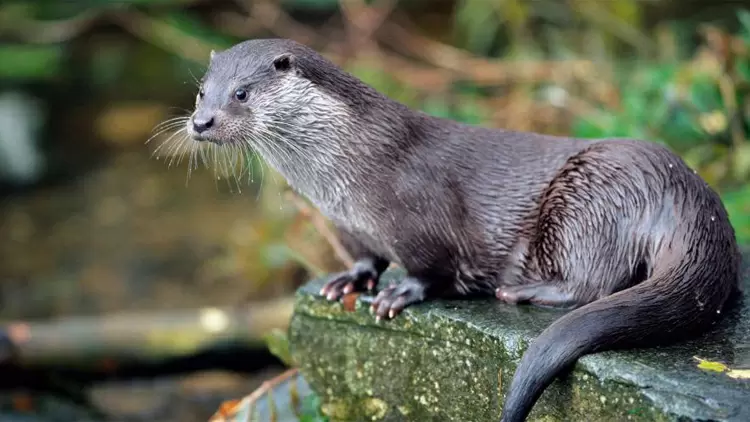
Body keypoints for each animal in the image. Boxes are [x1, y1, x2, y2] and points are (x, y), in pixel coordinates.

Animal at [169, 38, 741, 422]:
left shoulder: (418, 215)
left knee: (594, 282)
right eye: (201, 92)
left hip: (591, 196)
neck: (347, 172)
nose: (201, 122)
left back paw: (521, 291)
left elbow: (433, 269)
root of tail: (689, 193)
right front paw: (350, 280)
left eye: (242, 93)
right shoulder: (348, 225)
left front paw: (399, 293)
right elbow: (365, 256)